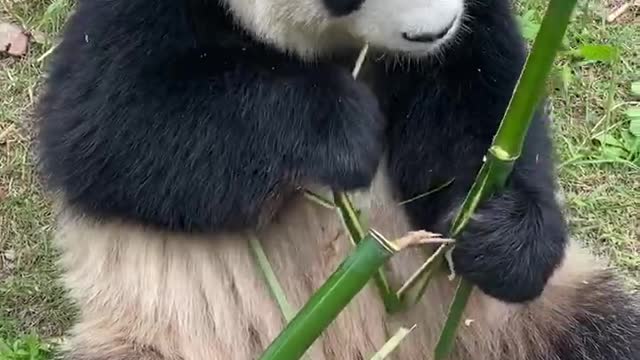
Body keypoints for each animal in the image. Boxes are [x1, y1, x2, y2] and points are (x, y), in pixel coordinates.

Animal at [35, 0, 640, 358]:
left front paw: (501, 236)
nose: (436, 28)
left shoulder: (468, 39)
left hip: (533, 319)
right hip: (158, 336)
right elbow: (107, 129)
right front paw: (342, 128)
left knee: (608, 334)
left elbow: (488, 100)